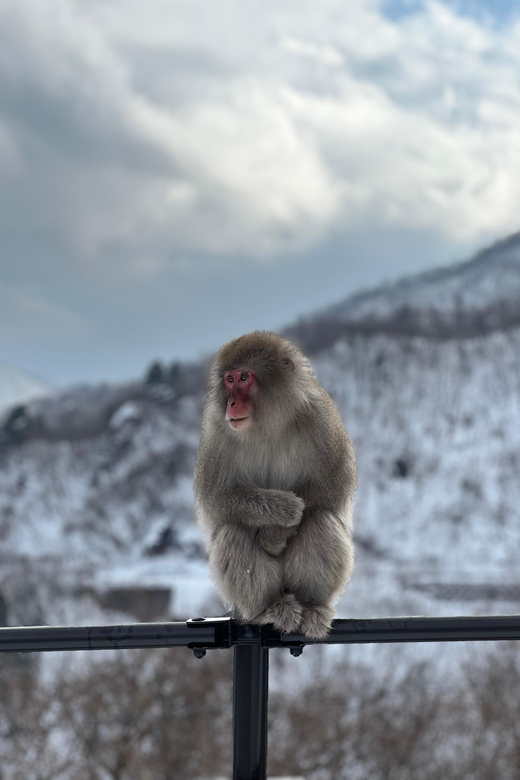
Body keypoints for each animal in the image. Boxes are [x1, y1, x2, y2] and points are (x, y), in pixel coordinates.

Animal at [195, 330, 358, 640]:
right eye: (229, 379)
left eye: (244, 377)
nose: (230, 403)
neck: (269, 423)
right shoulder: (216, 430)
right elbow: (217, 498)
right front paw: (284, 510)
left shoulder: (321, 418)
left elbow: (333, 484)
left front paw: (276, 535)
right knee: (232, 532)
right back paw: (268, 609)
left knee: (320, 519)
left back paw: (312, 606)